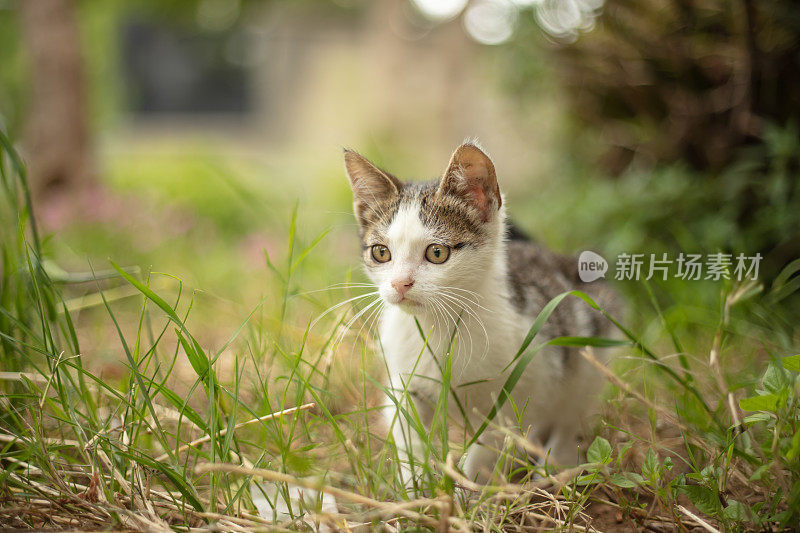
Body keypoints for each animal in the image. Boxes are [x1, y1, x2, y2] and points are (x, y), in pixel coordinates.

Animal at [340, 141, 616, 482]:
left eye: (437, 252)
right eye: (381, 253)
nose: (399, 283)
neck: (440, 324)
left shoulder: (523, 386)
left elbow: (491, 444)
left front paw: (467, 487)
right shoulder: (403, 382)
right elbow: (407, 434)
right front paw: (417, 485)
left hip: (590, 350)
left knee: (570, 413)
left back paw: (554, 465)